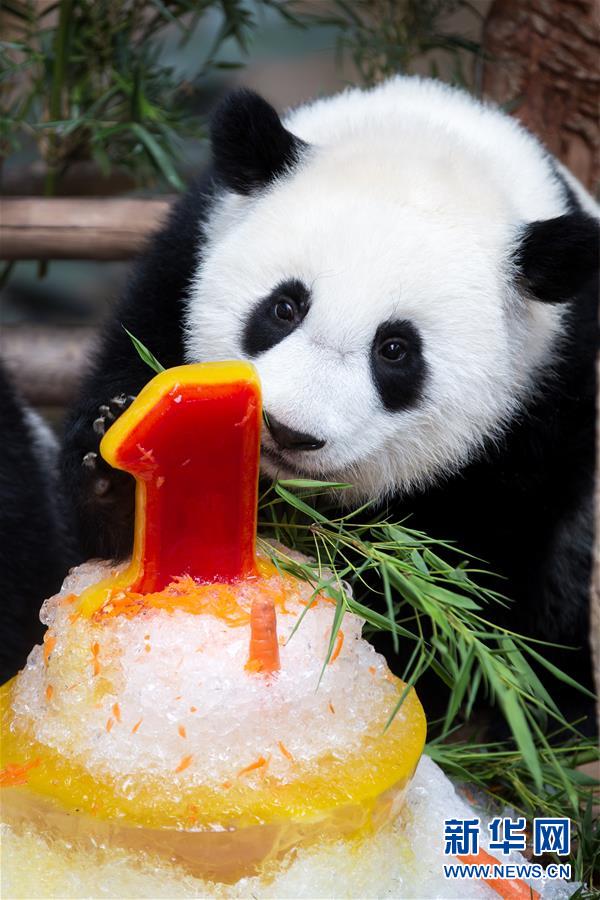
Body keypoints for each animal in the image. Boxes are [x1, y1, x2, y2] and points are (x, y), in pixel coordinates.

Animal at [61, 76, 599, 725]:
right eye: (284, 307)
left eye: (395, 350)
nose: (288, 431)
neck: (431, 137)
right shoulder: (178, 268)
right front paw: (119, 476)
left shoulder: (548, 405)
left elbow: (471, 594)